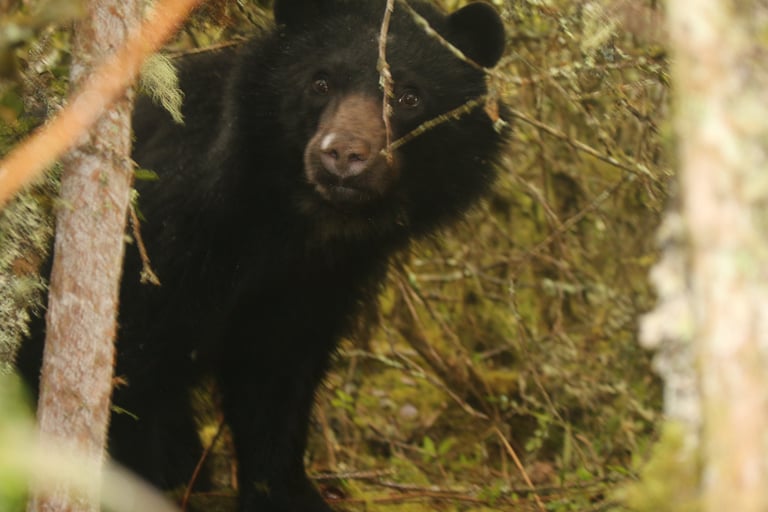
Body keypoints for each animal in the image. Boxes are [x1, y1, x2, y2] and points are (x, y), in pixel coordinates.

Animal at [19, 1, 507, 511]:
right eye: (320, 83)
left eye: (409, 97)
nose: (343, 155)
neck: (288, 224)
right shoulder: (163, 239)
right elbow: (123, 373)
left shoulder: (313, 283)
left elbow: (276, 383)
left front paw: (285, 492)